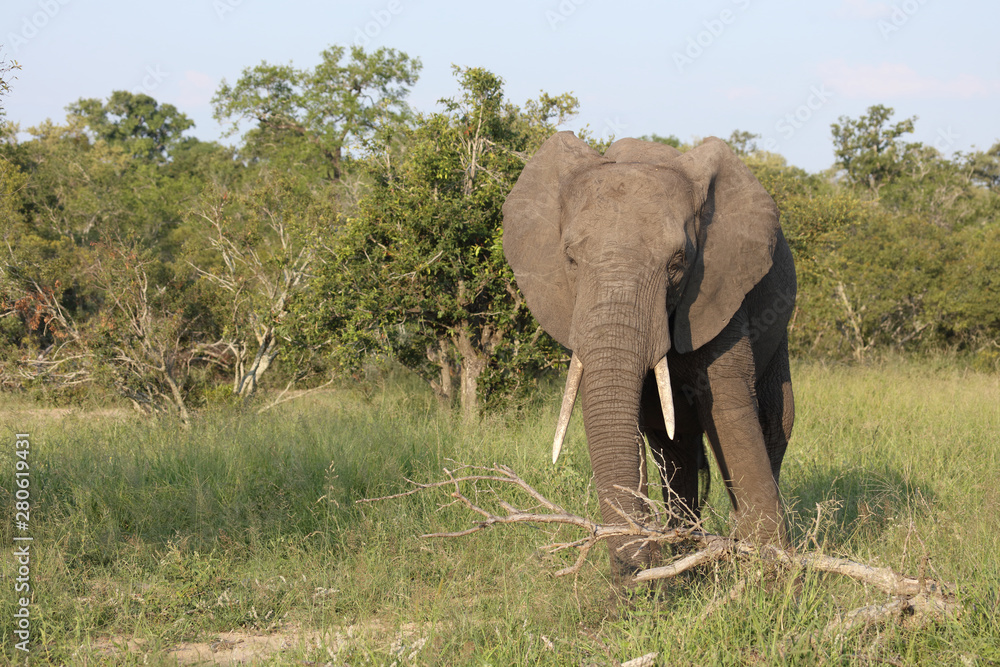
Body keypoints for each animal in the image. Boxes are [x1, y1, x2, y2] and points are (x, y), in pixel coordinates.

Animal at [502, 132, 796, 582]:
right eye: (570, 259)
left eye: (678, 263)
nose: (637, 577)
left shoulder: (720, 288)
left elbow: (730, 409)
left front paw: (773, 577)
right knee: (672, 447)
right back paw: (686, 551)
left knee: (774, 421)